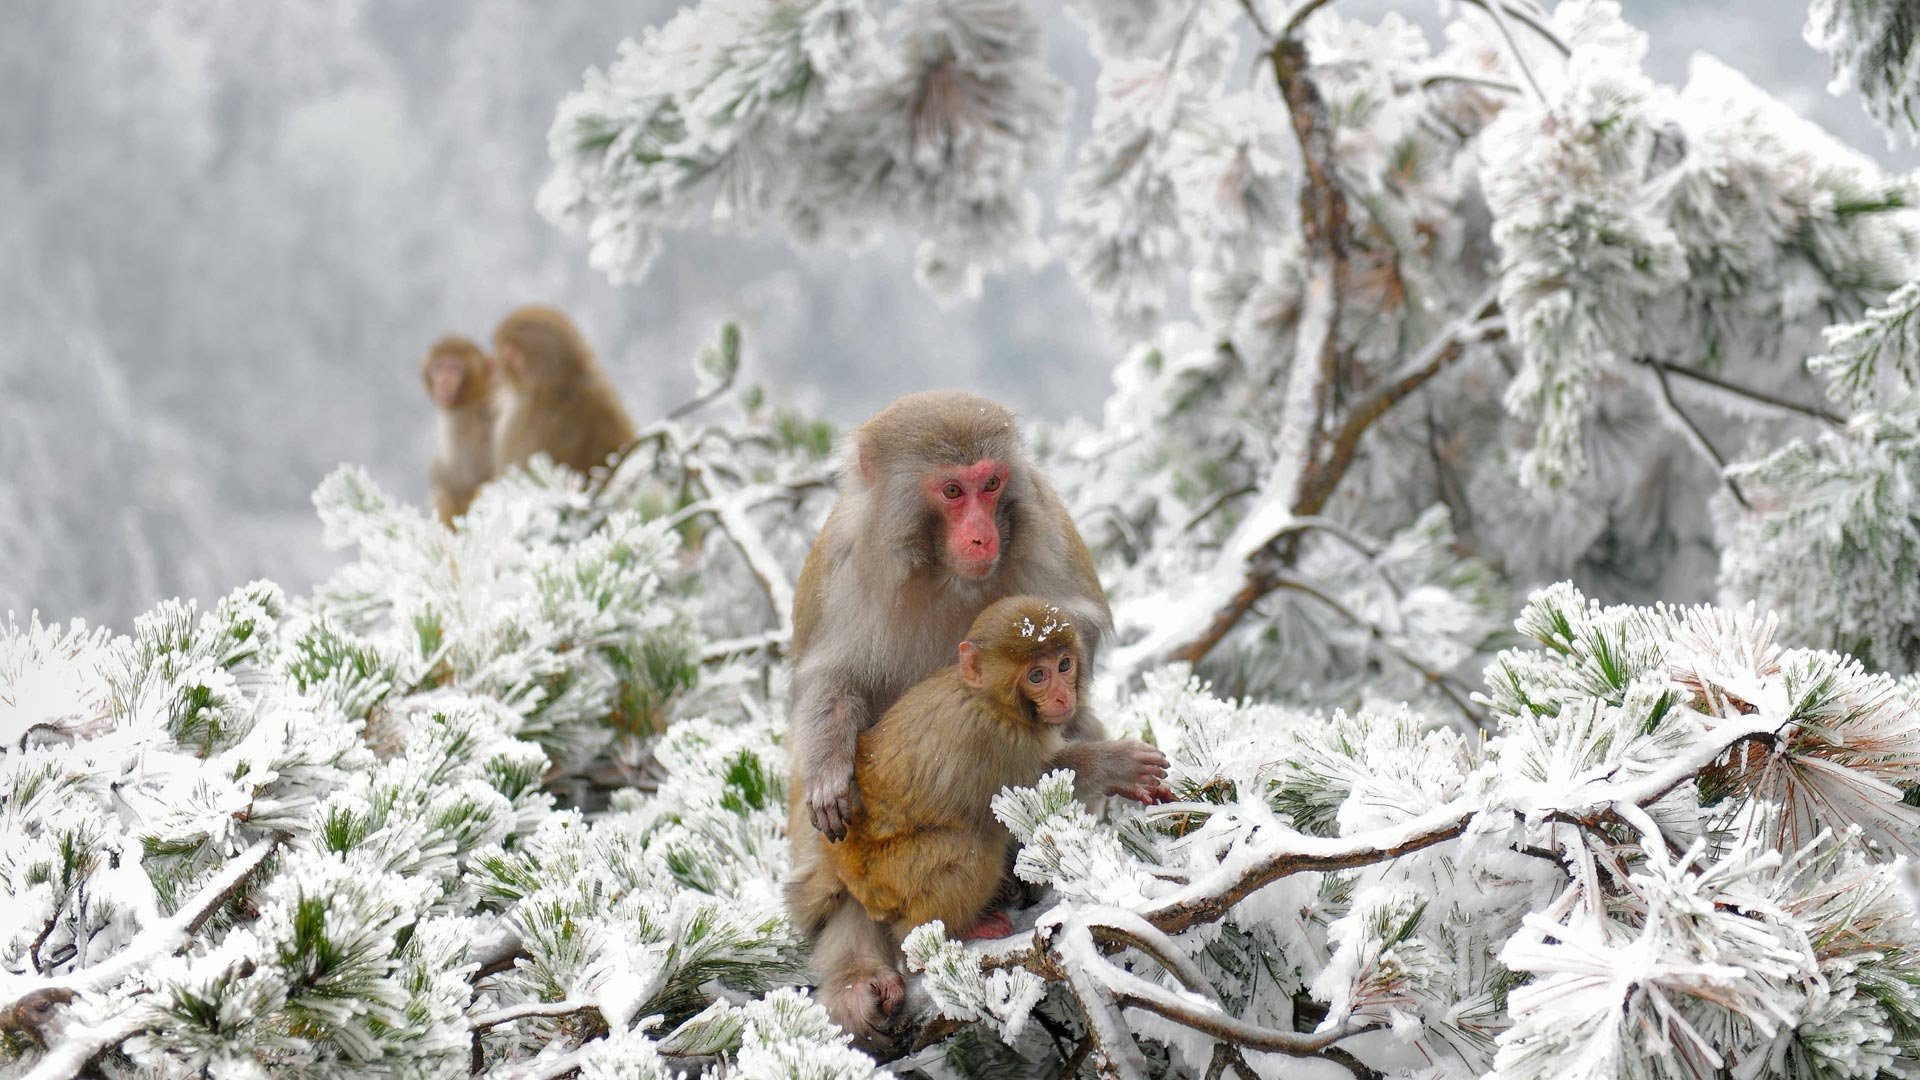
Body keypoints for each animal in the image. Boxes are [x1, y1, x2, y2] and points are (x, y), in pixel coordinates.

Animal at [787, 596, 1171, 1041]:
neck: (990, 700)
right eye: (1037, 675)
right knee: (970, 847)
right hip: (888, 875)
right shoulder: (997, 740)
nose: (1062, 697)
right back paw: (946, 933)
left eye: (1063, 665)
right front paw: (1118, 765)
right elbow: (1037, 784)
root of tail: (841, 862)